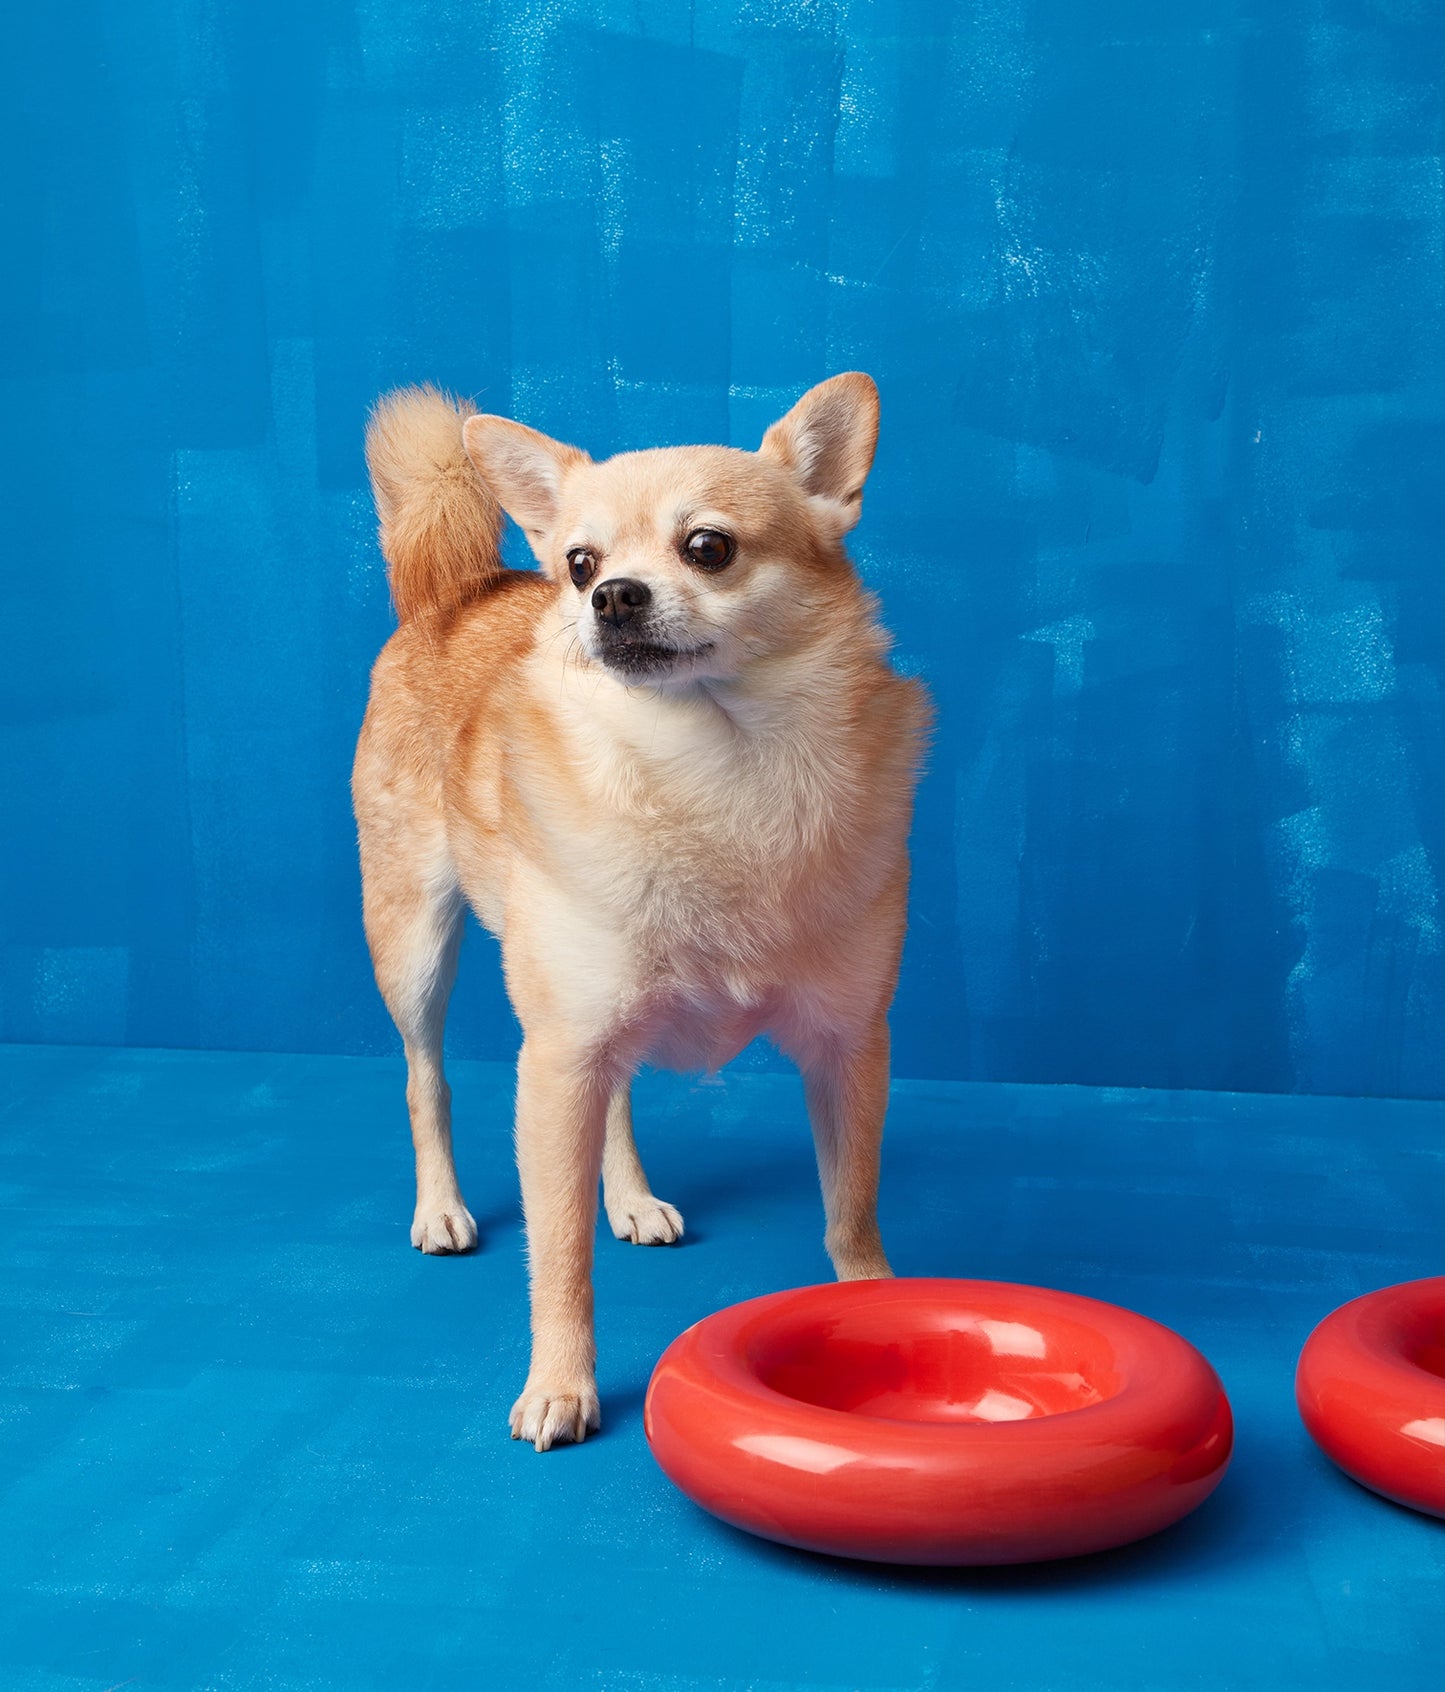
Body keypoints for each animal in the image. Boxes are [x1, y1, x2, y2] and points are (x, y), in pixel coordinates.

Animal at [357, 377, 934, 1448]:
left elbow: (851, 1205)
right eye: (580, 563)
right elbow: (558, 1255)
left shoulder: (848, 1048)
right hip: (413, 941)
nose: (608, 595)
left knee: (618, 1088)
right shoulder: (553, 1063)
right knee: (425, 1078)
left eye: (707, 547)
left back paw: (625, 1194)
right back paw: (441, 1208)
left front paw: (872, 1299)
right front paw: (561, 1383)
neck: (713, 764)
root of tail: (460, 592)